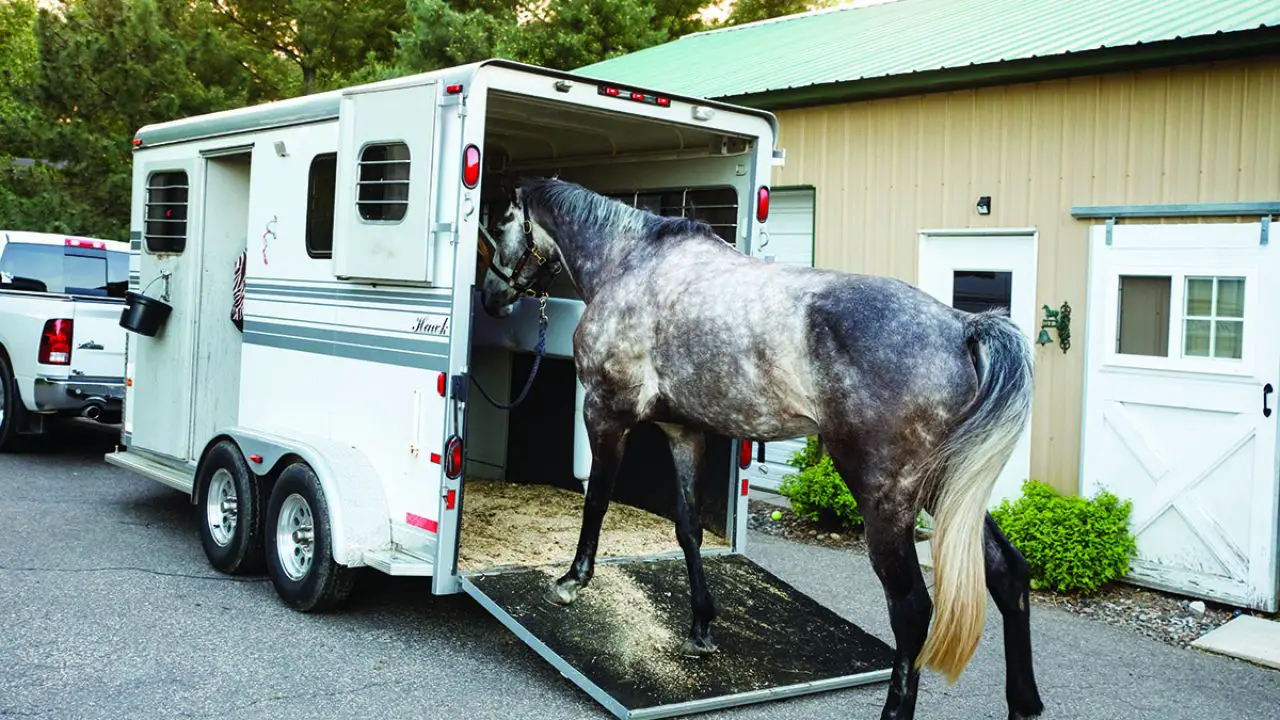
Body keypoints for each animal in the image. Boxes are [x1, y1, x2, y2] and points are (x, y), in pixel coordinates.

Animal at [476, 175, 1044, 717]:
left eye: (500, 224)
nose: (490, 298)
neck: (631, 262)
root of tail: (963, 327)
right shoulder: (683, 432)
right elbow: (688, 528)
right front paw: (701, 629)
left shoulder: (605, 413)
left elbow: (596, 500)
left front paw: (572, 581)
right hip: (944, 487)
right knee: (1007, 572)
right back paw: (1024, 703)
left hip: (887, 495)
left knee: (911, 609)